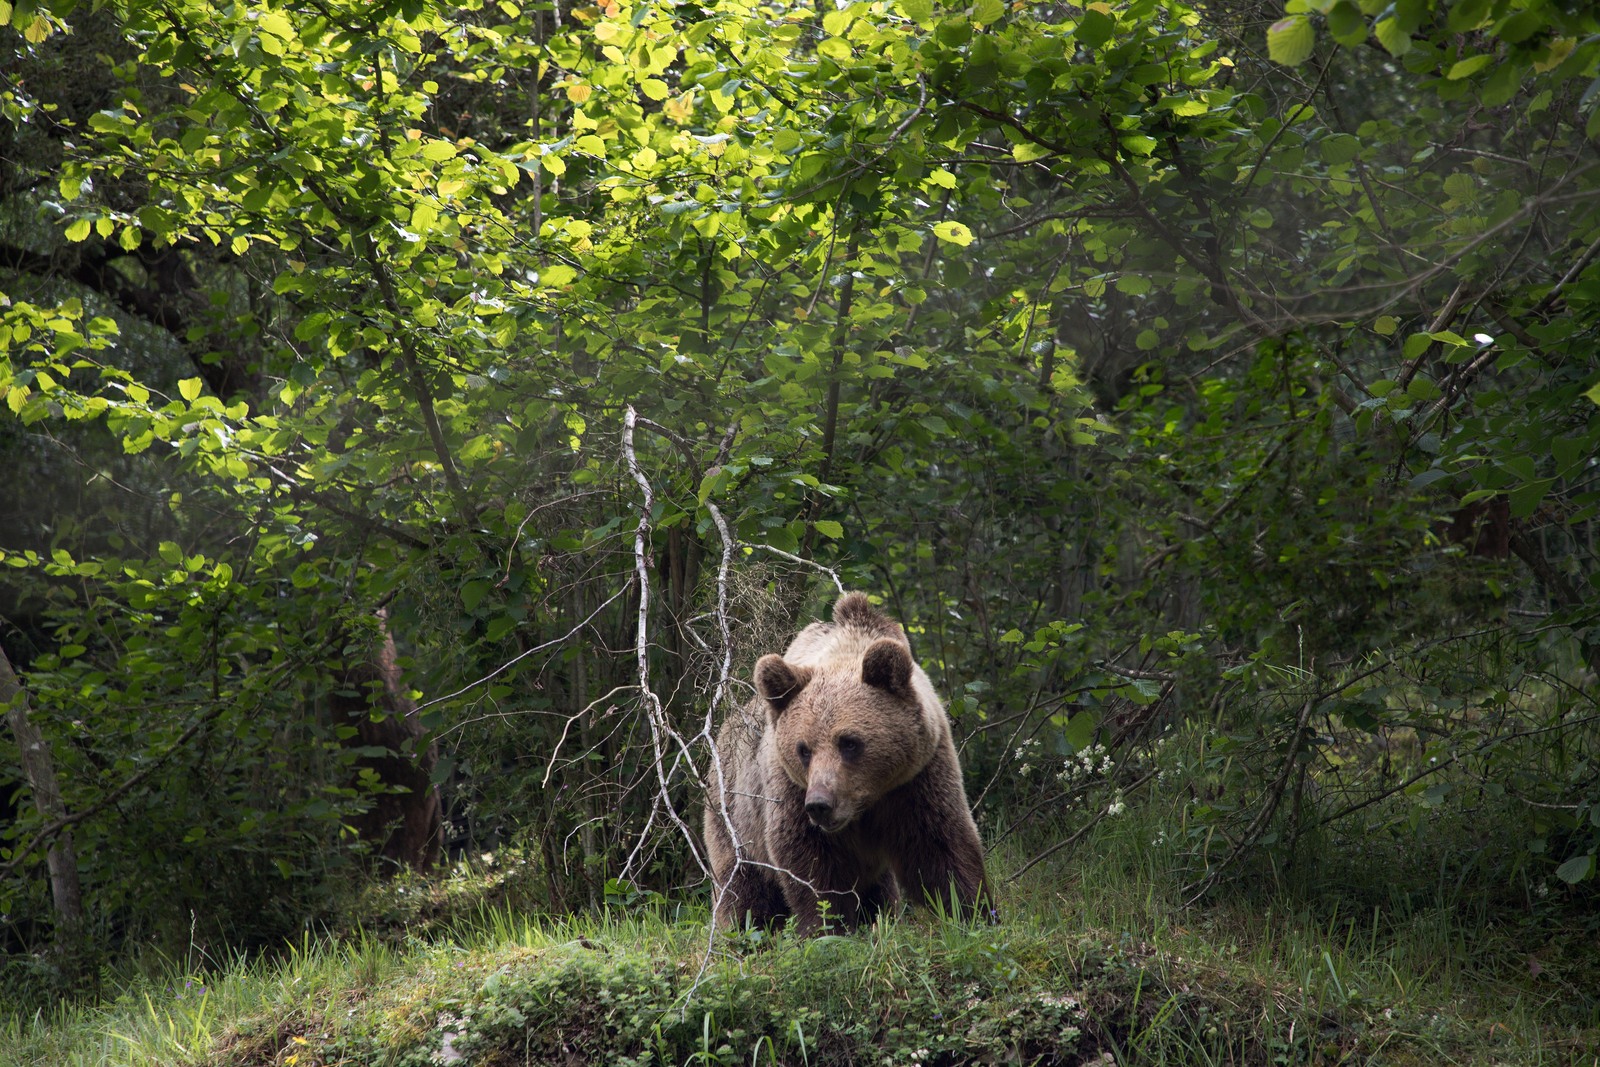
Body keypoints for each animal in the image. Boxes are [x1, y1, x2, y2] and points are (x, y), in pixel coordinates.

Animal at [707, 591, 992, 934]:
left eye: (849, 742)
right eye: (804, 749)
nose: (820, 804)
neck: (864, 804)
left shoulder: (916, 779)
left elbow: (940, 844)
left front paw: (973, 912)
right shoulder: (790, 791)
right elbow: (811, 864)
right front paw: (827, 926)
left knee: (880, 889)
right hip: (734, 814)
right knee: (743, 885)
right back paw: (744, 929)